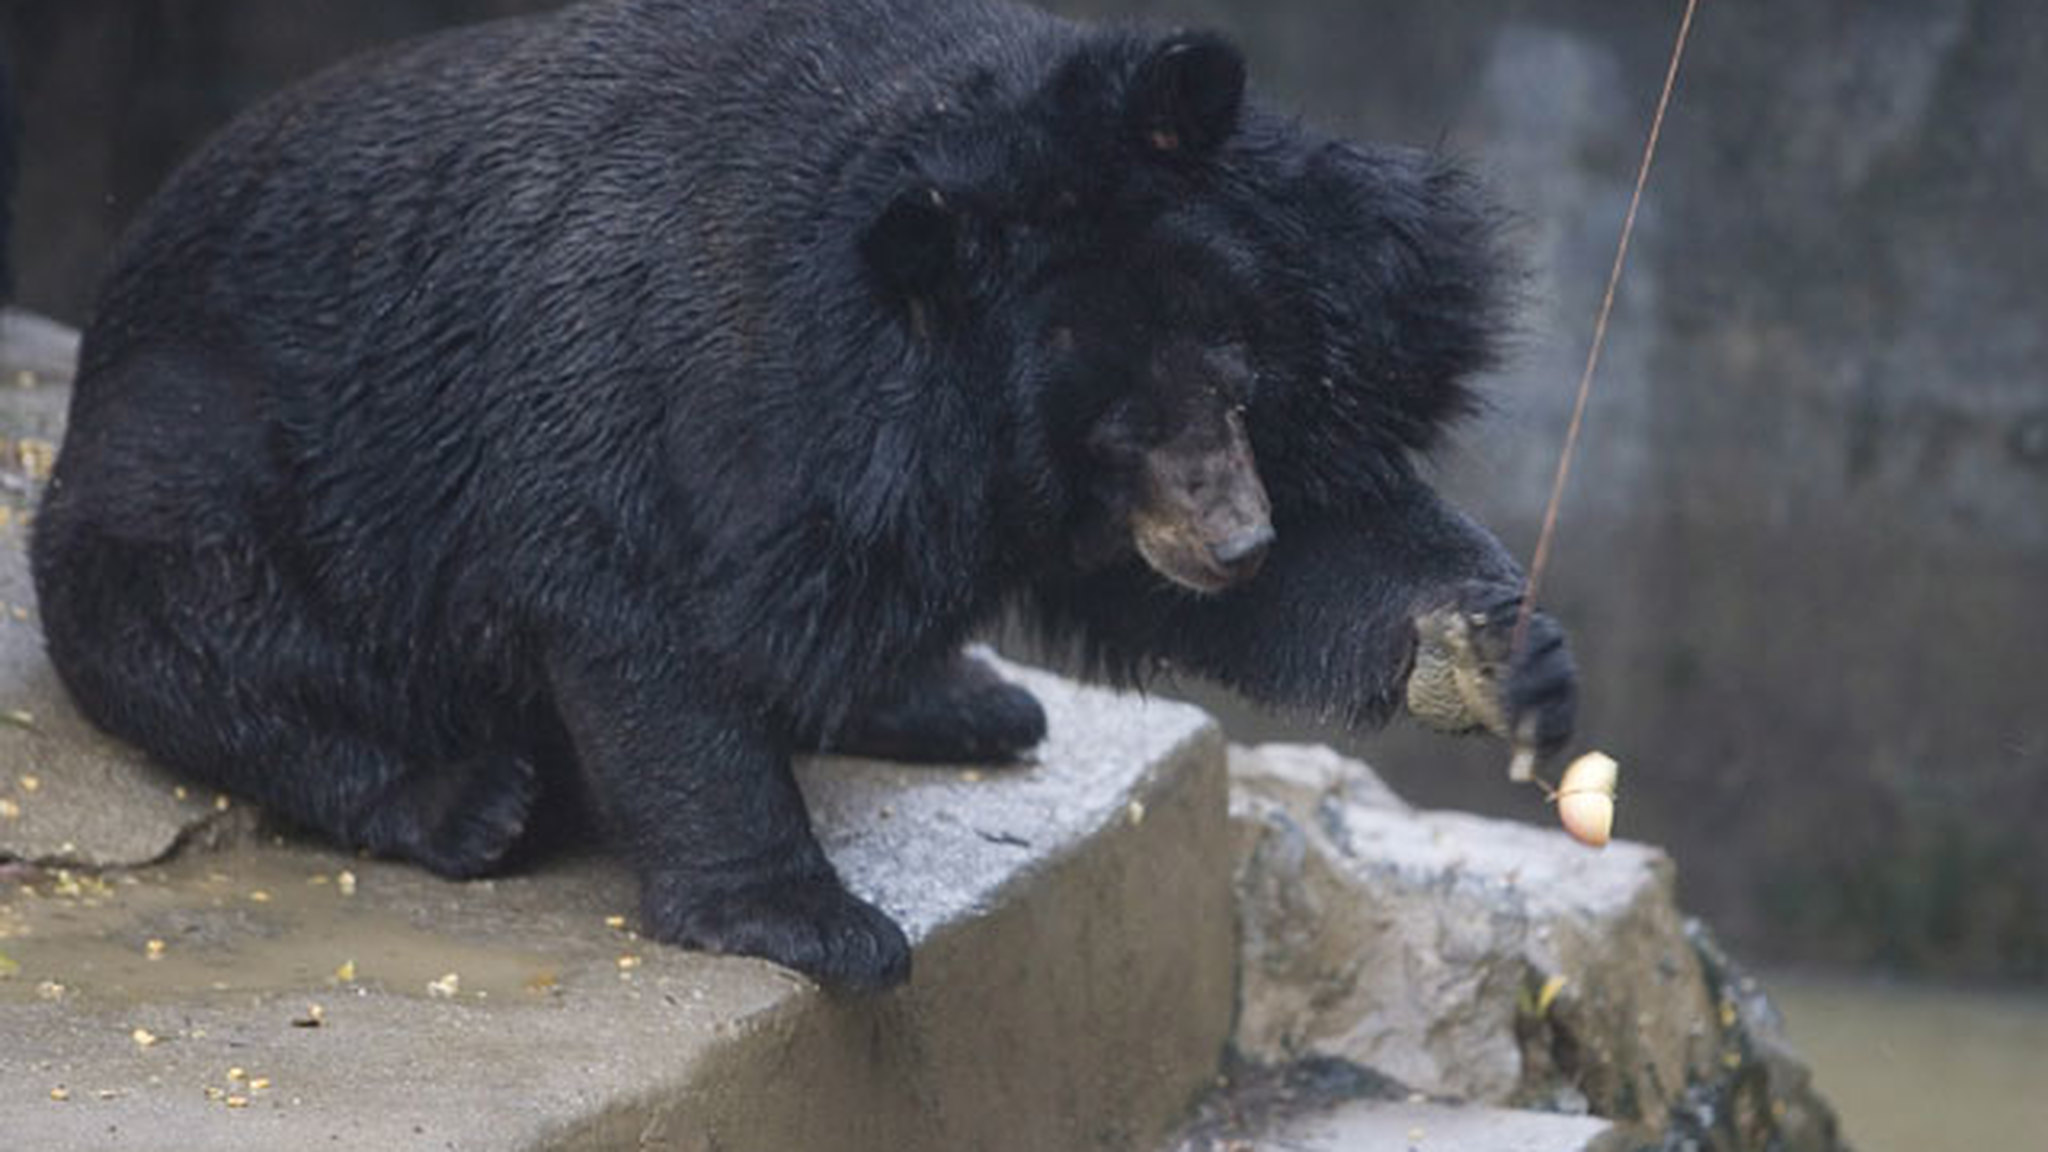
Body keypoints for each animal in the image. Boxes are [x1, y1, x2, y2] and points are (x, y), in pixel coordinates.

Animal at [32, 0, 1574, 992]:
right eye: (1112, 430)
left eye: (1238, 378)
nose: (1231, 542)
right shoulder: (672, 420)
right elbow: (644, 629)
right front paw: (815, 927)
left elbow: (1331, 532)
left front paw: (1494, 652)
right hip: (205, 458)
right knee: (198, 627)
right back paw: (467, 800)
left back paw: (964, 699)